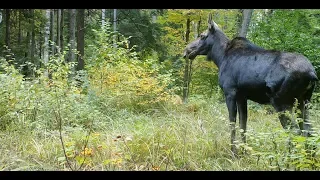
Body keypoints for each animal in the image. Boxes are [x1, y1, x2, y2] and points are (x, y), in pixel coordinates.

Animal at [184, 14, 318, 155]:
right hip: (304, 101)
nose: (186, 50)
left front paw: (234, 152)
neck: (219, 58)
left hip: (281, 102)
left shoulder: (230, 93)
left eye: (202, 35)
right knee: (309, 131)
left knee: (295, 131)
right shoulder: (242, 97)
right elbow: (243, 125)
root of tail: (311, 73)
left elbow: (232, 124)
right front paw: (244, 152)